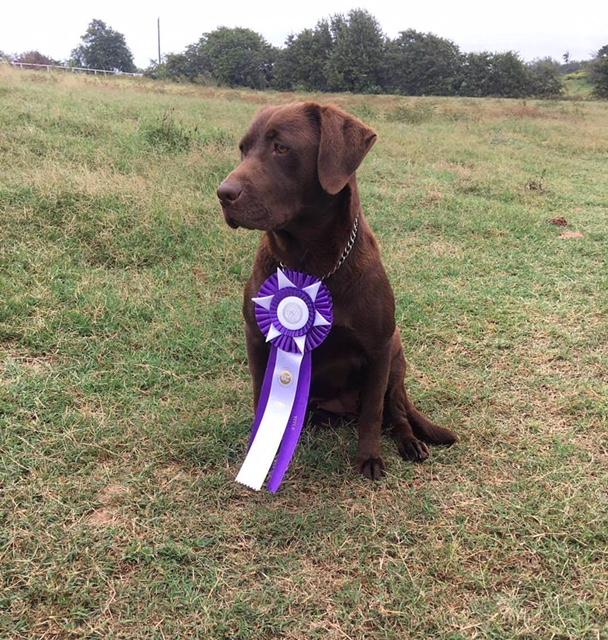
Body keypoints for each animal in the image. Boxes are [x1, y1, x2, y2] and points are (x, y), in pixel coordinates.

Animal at [218, 101, 456, 480]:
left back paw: (409, 442)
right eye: (243, 149)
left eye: (281, 147)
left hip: (396, 358)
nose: (223, 194)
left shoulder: (378, 347)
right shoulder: (256, 337)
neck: (311, 265)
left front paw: (370, 458)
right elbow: (260, 397)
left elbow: (373, 413)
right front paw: (259, 447)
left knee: (396, 412)